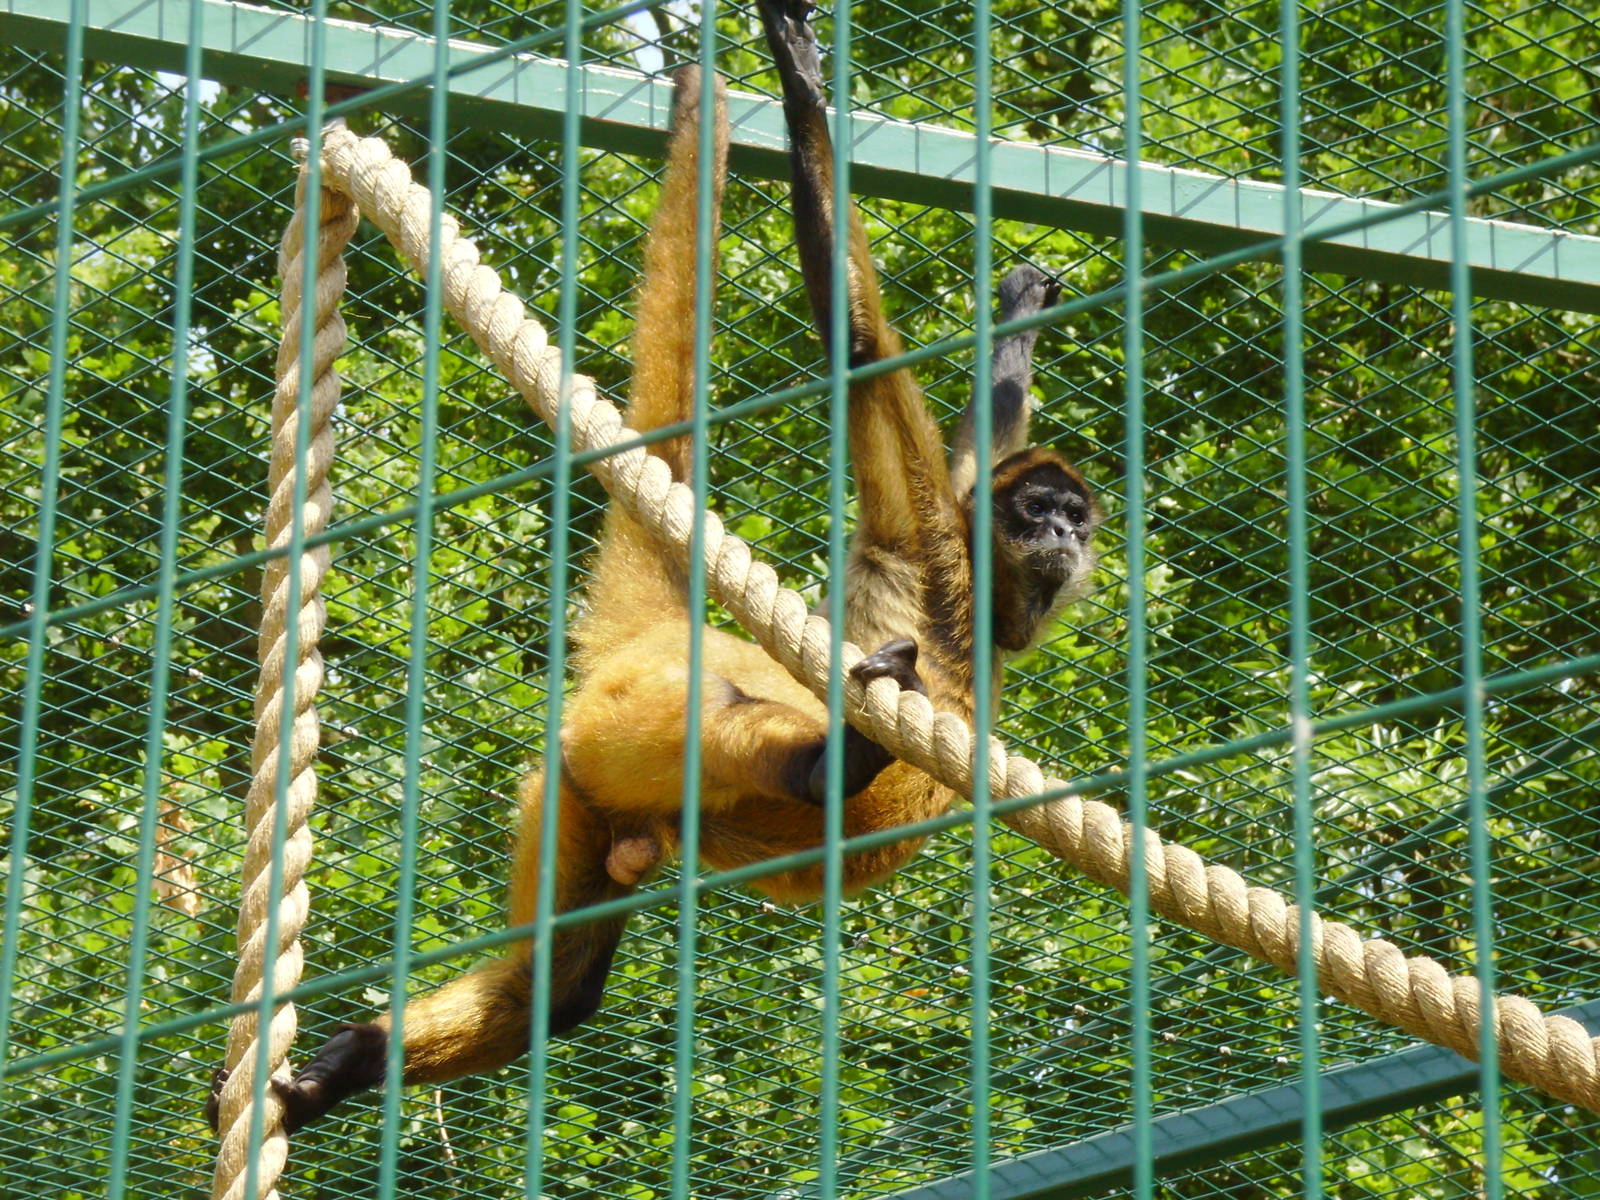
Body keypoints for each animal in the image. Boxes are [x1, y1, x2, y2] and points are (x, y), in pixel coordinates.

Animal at [209, 9, 1098, 1135]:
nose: (1066, 534)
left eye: (1074, 515)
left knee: (554, 990)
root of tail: (660, 634)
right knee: (733, 724)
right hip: (635, 717)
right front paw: (802, 84)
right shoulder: (928, 547)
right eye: (1041, 516)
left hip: (584, 785)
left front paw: (1017, 316)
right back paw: (830, 764)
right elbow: (859, 346)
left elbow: (976, 432)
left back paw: (349, 1063)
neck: (975, 620)